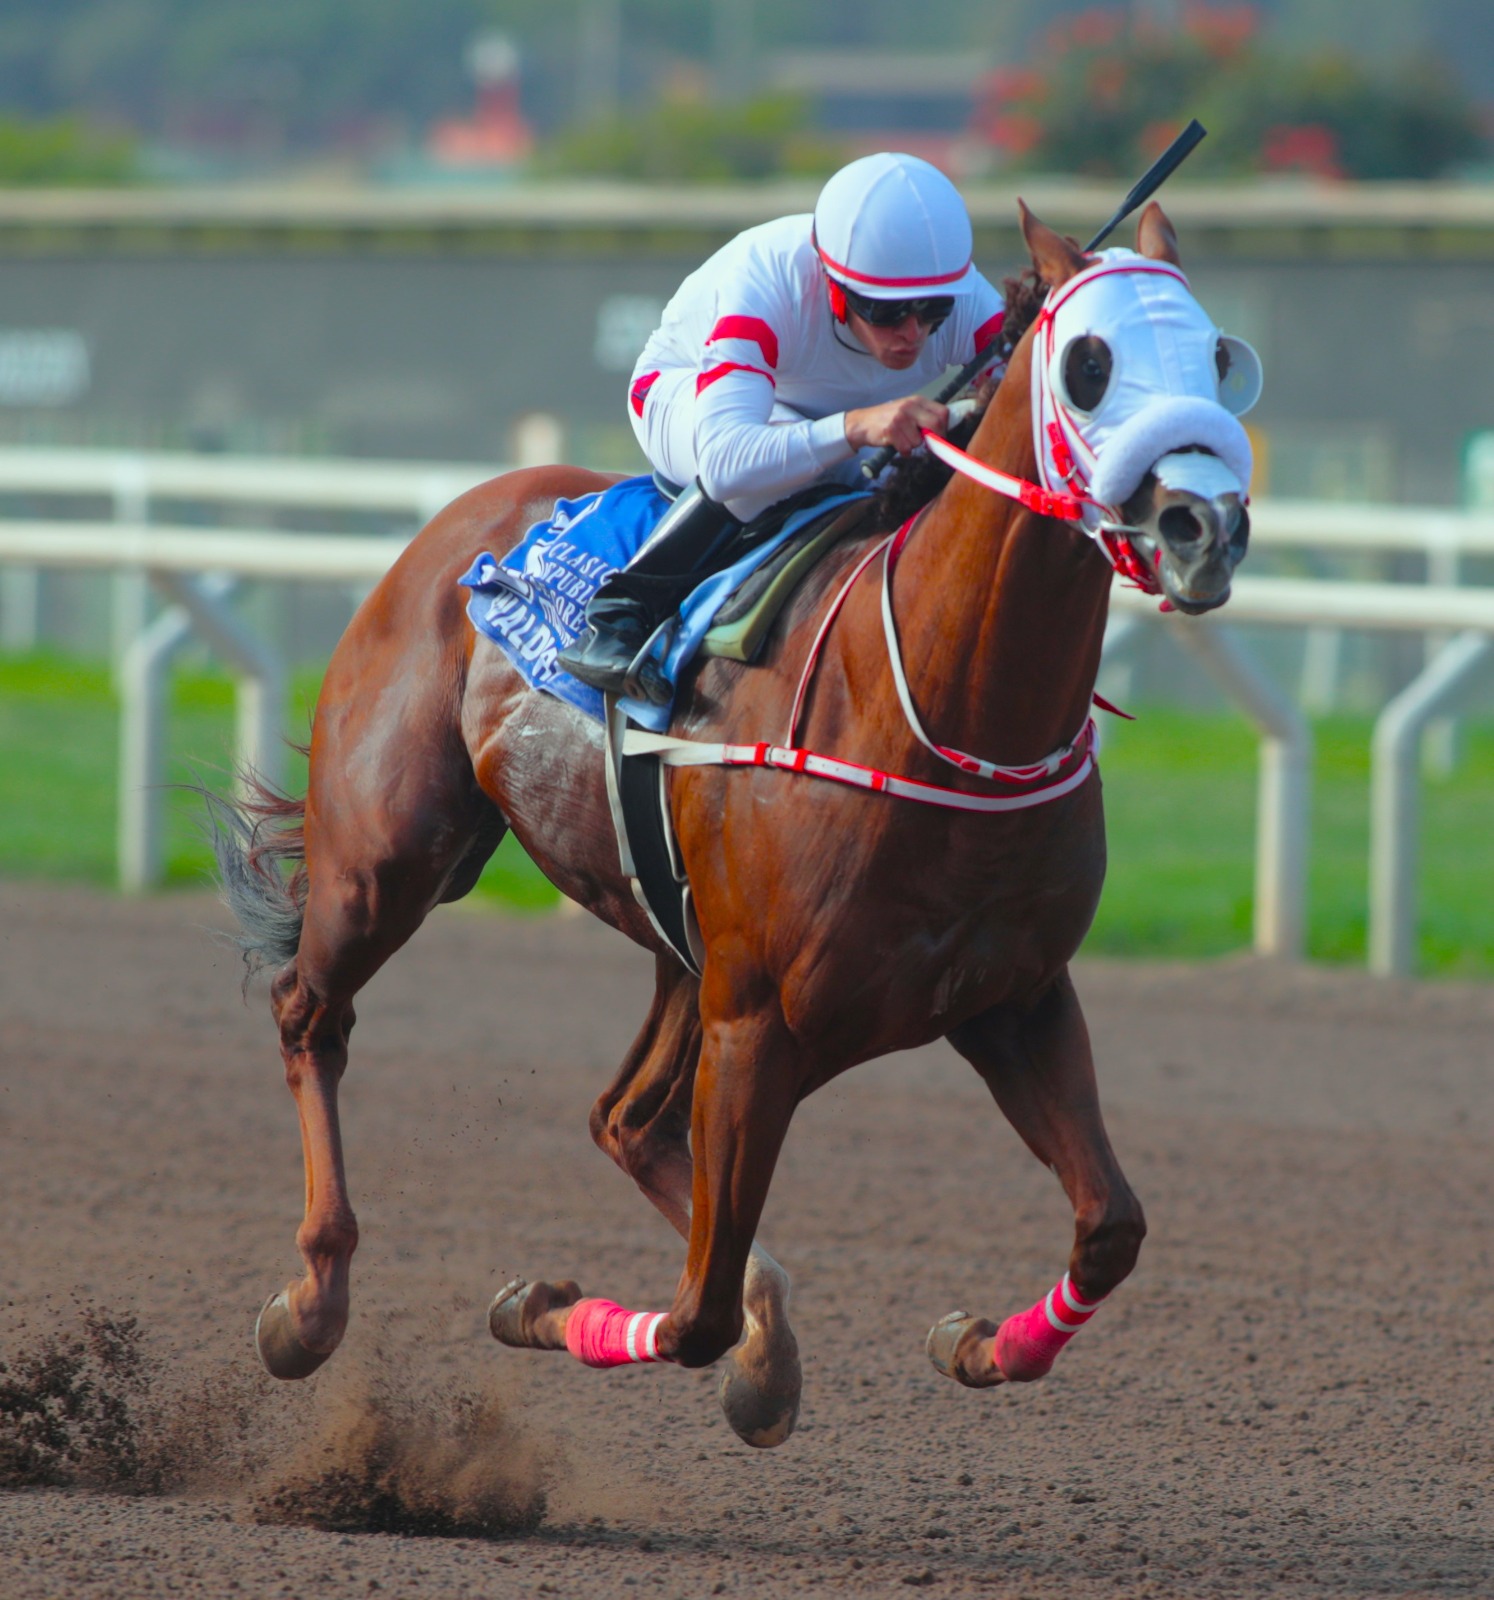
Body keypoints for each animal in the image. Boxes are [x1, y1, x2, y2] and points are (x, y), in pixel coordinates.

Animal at [209, 201, 1256, 1449]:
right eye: (1088, 366)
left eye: (1220, 359)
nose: (1202, 527)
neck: (936, 706)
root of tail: (463, 515)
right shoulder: (760, 1020)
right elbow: (693, 1314)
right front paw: (542, 1306)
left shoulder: (1013, 997)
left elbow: (1110, 1227)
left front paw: (977, 1342)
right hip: (387, 861)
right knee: (311, 1017)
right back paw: (311, 1299)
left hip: (679, 949)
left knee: (624, 1120)